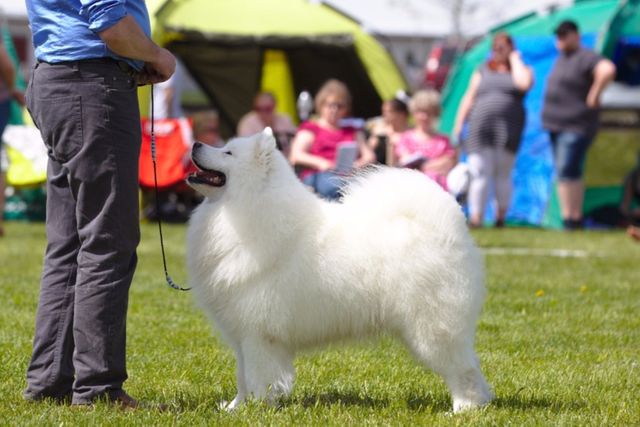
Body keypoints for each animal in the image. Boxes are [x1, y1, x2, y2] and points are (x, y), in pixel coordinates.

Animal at [186, 129, 496, 412]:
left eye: (227, 152)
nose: (196, 143)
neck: (245, 208)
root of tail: (450, 229)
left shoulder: (258, 333)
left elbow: (256, 377)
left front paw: (256, 408)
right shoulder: (241, 333)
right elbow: (242, 377)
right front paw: (235, 408)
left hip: (431, 327)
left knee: (462, 368)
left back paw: (464, 408)